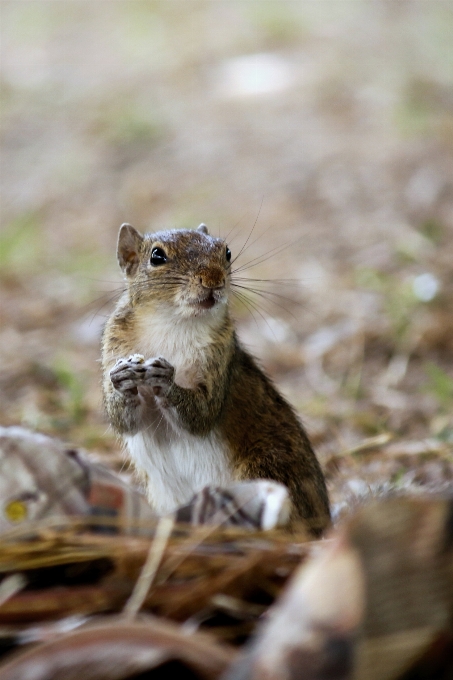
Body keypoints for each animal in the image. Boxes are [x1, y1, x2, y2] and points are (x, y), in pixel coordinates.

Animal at [101, 224, 328, 536]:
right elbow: (124, 421)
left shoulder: (221, 359)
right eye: (157, 256)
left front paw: (166, 381)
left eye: (227, 251)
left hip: (266, 468)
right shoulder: (114, 348)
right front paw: (122, 380)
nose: (213, 279)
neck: (173, 323)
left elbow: (202, 414)